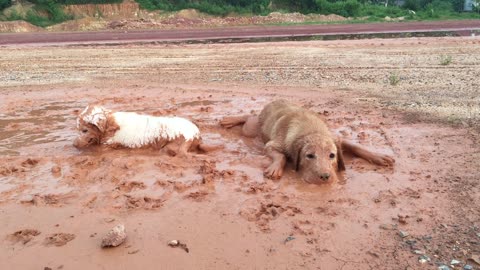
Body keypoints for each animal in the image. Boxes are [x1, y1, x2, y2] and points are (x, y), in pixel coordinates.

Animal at [221, 100, 394, 185]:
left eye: (332, 155)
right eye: (309, 156)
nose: (325, 177)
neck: (311, 130)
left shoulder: (335, 137)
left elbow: (354, 145)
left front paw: (378, 156)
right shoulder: (272, 144)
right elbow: (281, 156)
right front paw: (275, 168)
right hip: (251, 130)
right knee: (249, 118)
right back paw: (230, 120)